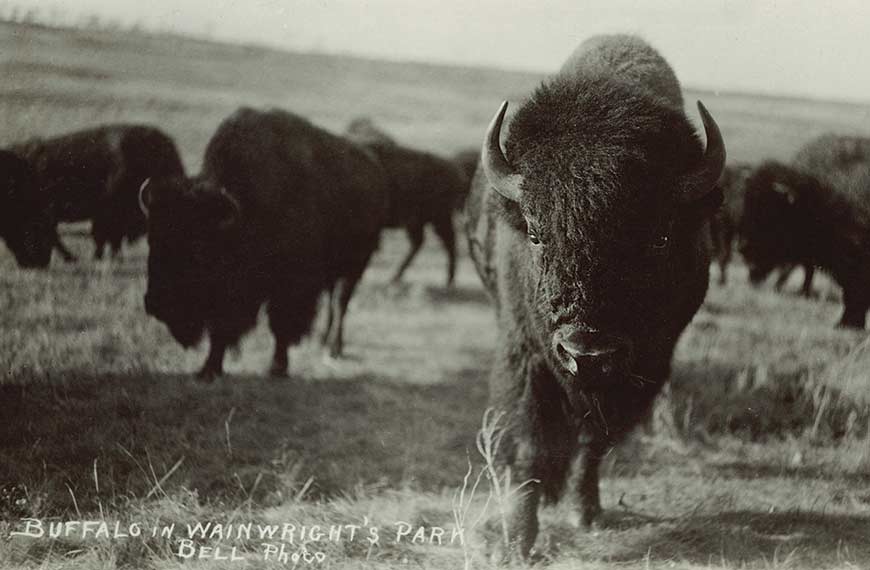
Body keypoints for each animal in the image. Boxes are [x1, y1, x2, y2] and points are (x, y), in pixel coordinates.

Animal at [141, 108, 386, 380]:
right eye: (152, 239)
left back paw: (333, 348)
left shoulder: (290, 286)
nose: (154, 302)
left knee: (340, 303)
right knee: (334, 305)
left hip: (354, 266)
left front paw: (277, 367)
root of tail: (373, 168)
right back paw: (323, 343)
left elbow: (281, 325)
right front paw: (209, 368)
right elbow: (221, 328)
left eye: (198, 248)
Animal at [348, 116, 470, 284]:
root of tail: (456, 172)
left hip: (437, 217)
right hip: (419, 221)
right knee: (420, 242)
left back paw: (447, 280)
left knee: (447, 241)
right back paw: (397, 276)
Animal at [466, 33, 724, 556]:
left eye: (660, 237)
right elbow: (531, 443)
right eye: (536, 232)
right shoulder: (527, 355)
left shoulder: (644, 369)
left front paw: (585, 513)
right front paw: (517, 540)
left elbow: (595, 441)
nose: (587, 352)